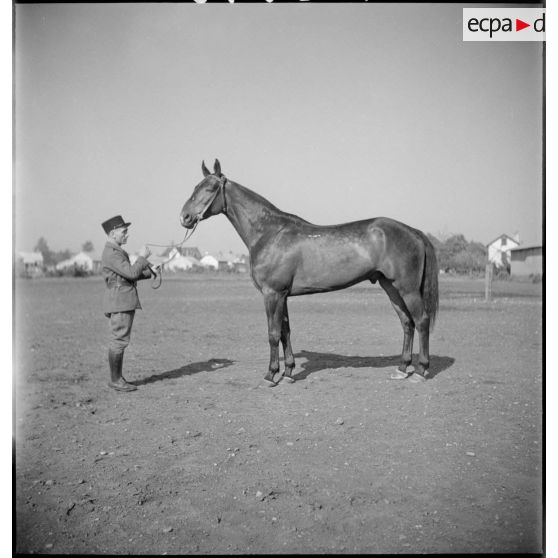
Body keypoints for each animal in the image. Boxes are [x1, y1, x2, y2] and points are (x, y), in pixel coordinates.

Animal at [182, 160, 440, 388]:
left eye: (209, 188)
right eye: (195, 187)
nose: (184, 217)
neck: (269, 232)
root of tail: (414, 231)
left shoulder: (272, 294)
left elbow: (273, 334)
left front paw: (270, 376)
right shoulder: (282, 295)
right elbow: (285, 332)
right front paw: (288, 373)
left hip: (407, 289)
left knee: (421, 321)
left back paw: (420, 371)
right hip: (390, 287)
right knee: (406, 322)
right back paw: (402, 369)